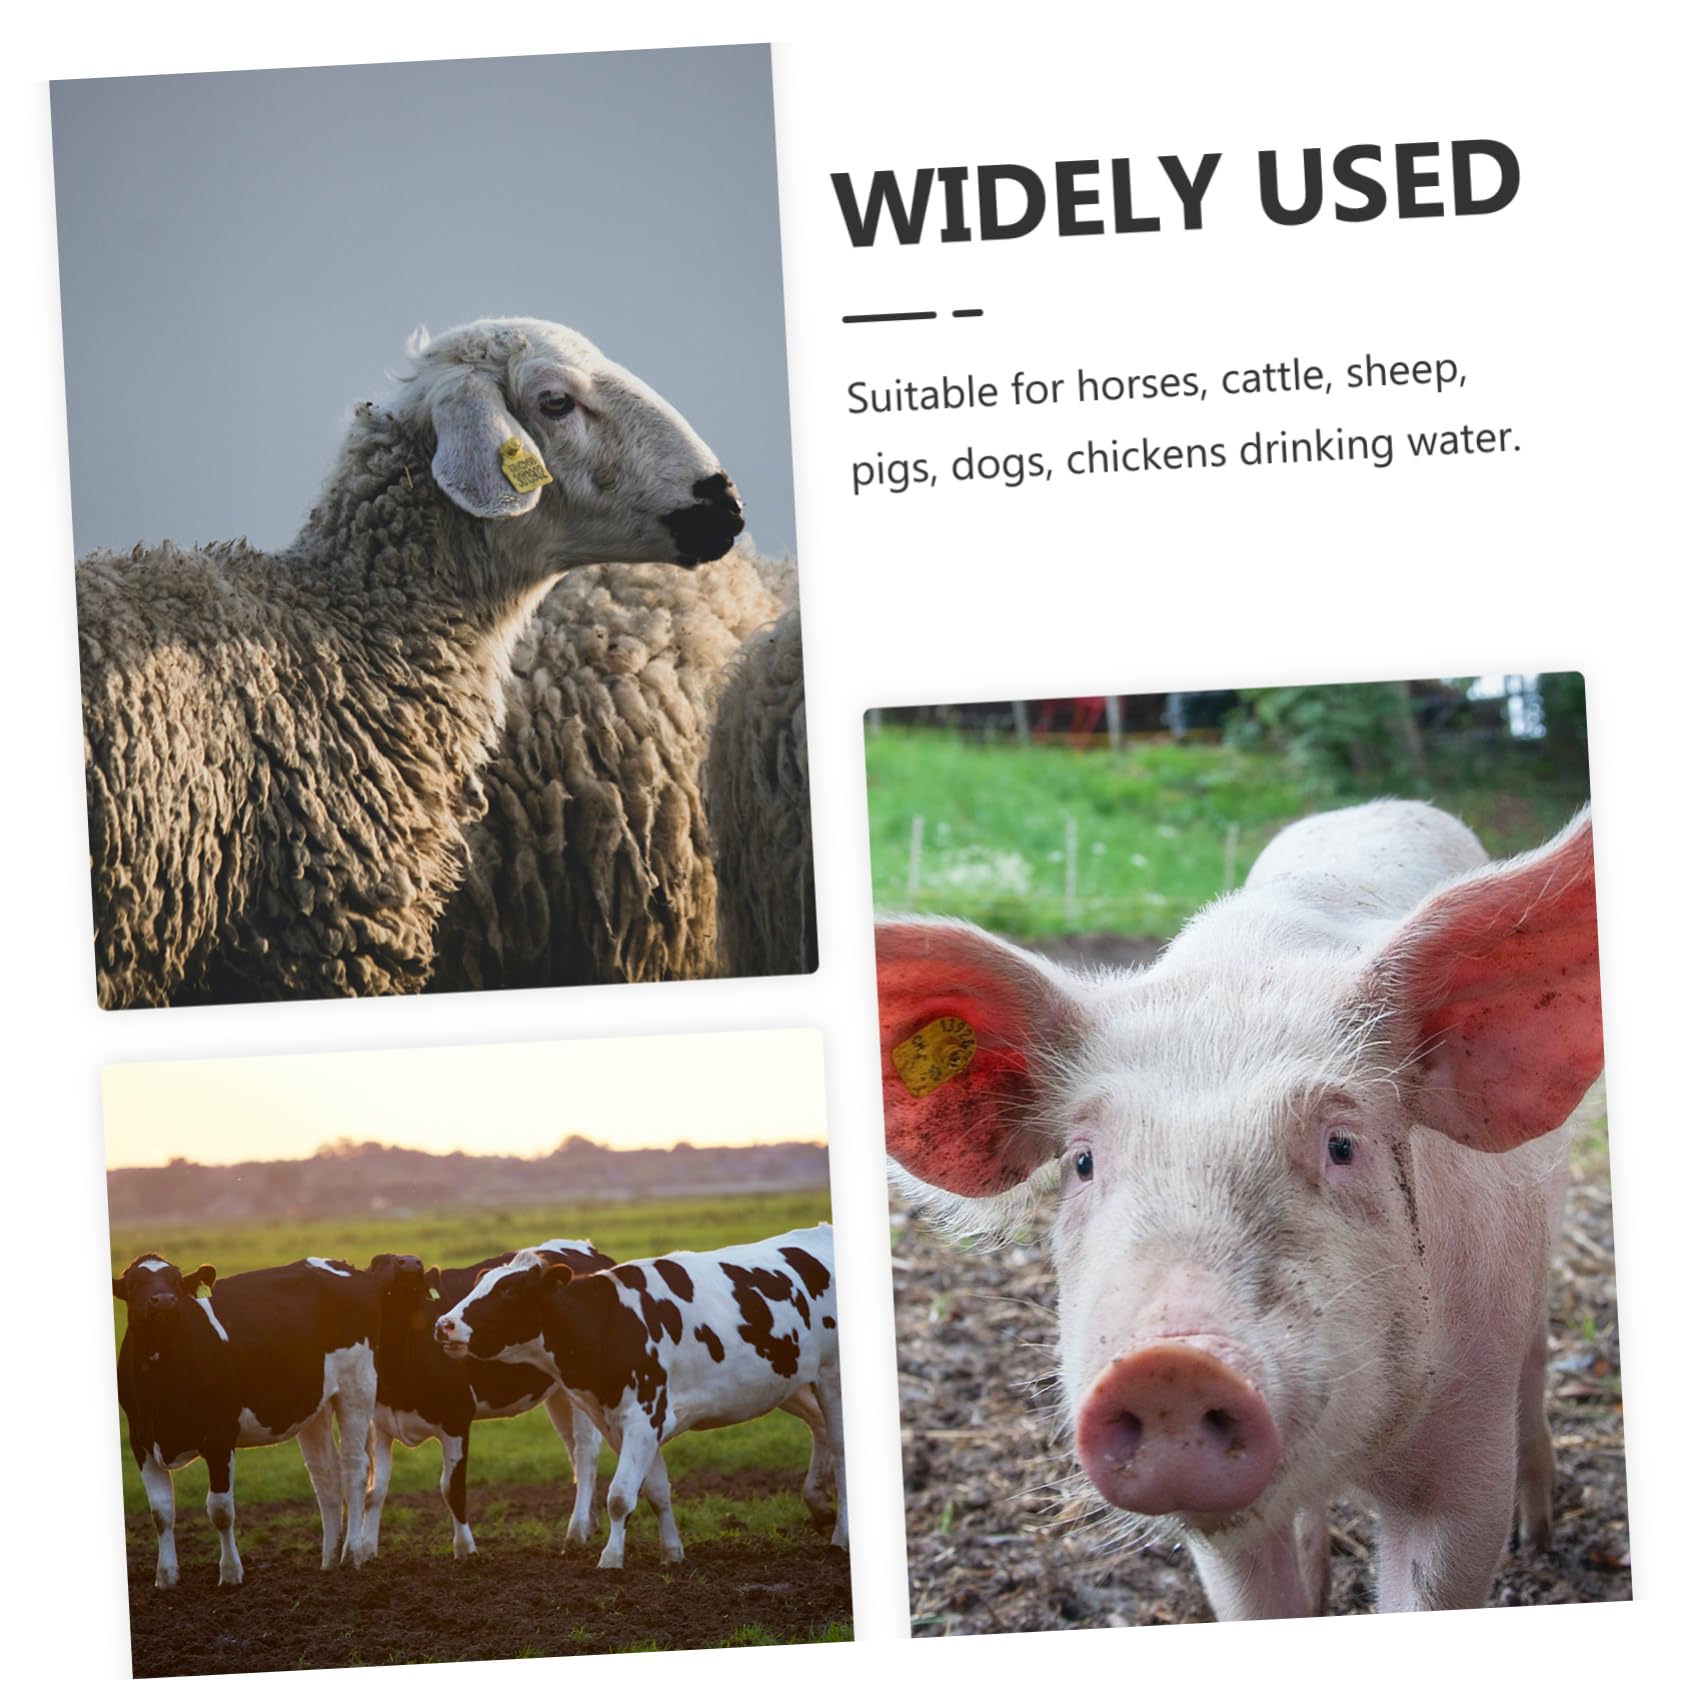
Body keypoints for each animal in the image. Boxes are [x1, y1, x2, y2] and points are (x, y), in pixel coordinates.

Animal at [112, 1252, 414, 1588]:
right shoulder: (140, 1440)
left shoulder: (219, 1436)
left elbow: (220, 1509)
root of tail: (351, 1269)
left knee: (355, 1468)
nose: (164, 1301)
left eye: (177, 1282)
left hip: (357, 1385)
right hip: (315, 1403)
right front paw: (165, 1577)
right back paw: (328, 1560)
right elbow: (160, 1512)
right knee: (326, 1475)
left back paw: (351, 1554)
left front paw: (231, 1573)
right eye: (134, 1284)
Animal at [361, 1240, 617, 1559]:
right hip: (560, 1393)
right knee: (573, 1451)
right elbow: (375, 1490)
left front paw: (465, 1549)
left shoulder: (457, 1417)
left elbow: (452, 1488)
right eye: (377, 1262)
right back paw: (590, 1523)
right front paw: (365, 1551)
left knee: (585, 1453)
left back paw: (577, 1530)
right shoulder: (380, 1423)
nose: (410, 1262)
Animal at [433, 1224, 846, 1568]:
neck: (608, 1322)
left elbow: (619, 1496)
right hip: (789, 1382)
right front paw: (672, 1553)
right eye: (480, 1283)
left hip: (832, 1377)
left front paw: (611, 1559)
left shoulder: (644, 1418)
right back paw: (820, 1506)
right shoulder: (626, 1424)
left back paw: (840, 1535)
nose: (443, 1325)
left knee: (841, 1449)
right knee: (820, 1429)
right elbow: (656, 1491)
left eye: (509, 1290)